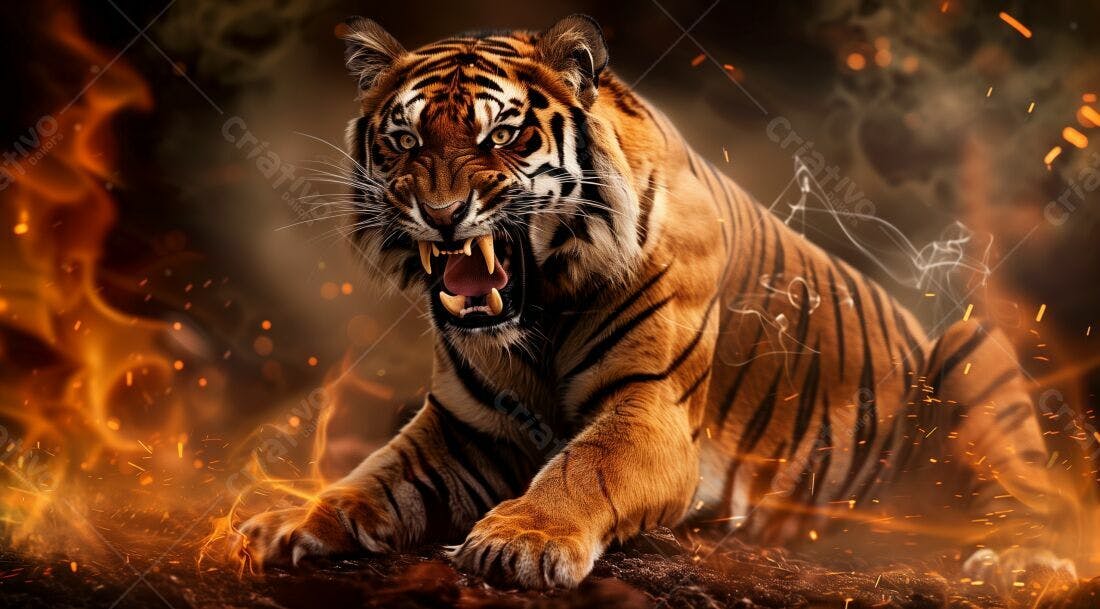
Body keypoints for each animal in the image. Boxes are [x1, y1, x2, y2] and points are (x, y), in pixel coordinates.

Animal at [233, 14, 1077, 589]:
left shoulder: (650, 409)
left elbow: (583, 469)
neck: (537, 315)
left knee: (1046, 499)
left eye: (502, 136)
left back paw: (1019, 558)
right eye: (405, 141)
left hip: (971, 351)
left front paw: (523, 539)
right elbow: (369, 477)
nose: (440, 214)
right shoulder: (467, 426)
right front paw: (287, 521)